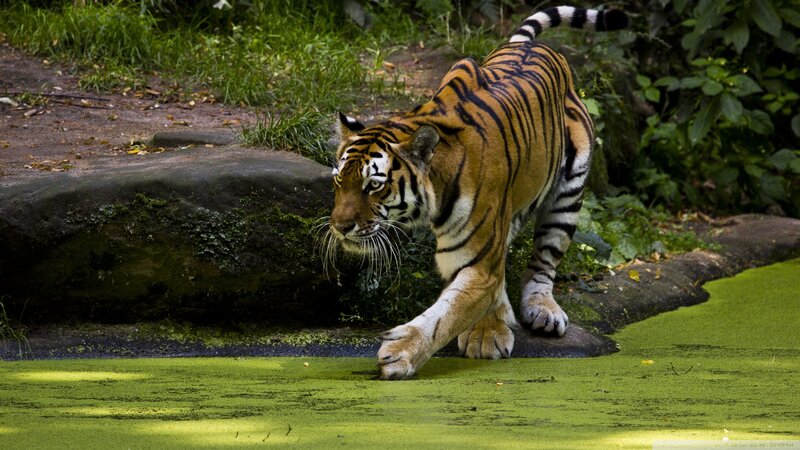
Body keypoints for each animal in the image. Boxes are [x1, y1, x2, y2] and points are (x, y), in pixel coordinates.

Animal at [324, 5, 629, 379]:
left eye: (374, 185)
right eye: (340, 181)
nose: (340, 227)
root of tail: (533, 47)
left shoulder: (477, 259)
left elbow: (444, 316)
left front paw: (400, 353)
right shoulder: (483, 248)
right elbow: (473, 294)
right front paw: (487, 331)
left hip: (568, 195)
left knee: (544, 259)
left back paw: (542, 309)